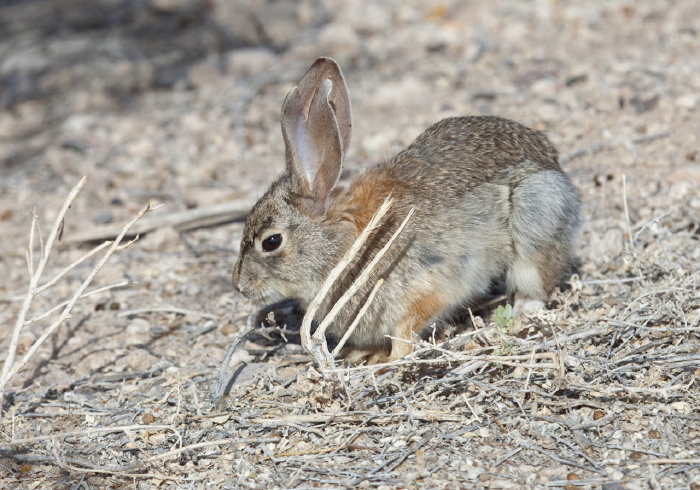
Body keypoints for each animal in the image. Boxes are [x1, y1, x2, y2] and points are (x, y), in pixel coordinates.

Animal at [232, 57, 584, 364]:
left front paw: (387, 361)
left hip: (537, 208)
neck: (346, 243)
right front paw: (364, 354)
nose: (239, 286)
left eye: (271, 242)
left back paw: (519, 313)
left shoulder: (426, 290)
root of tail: (554, 163)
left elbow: (407, 330)